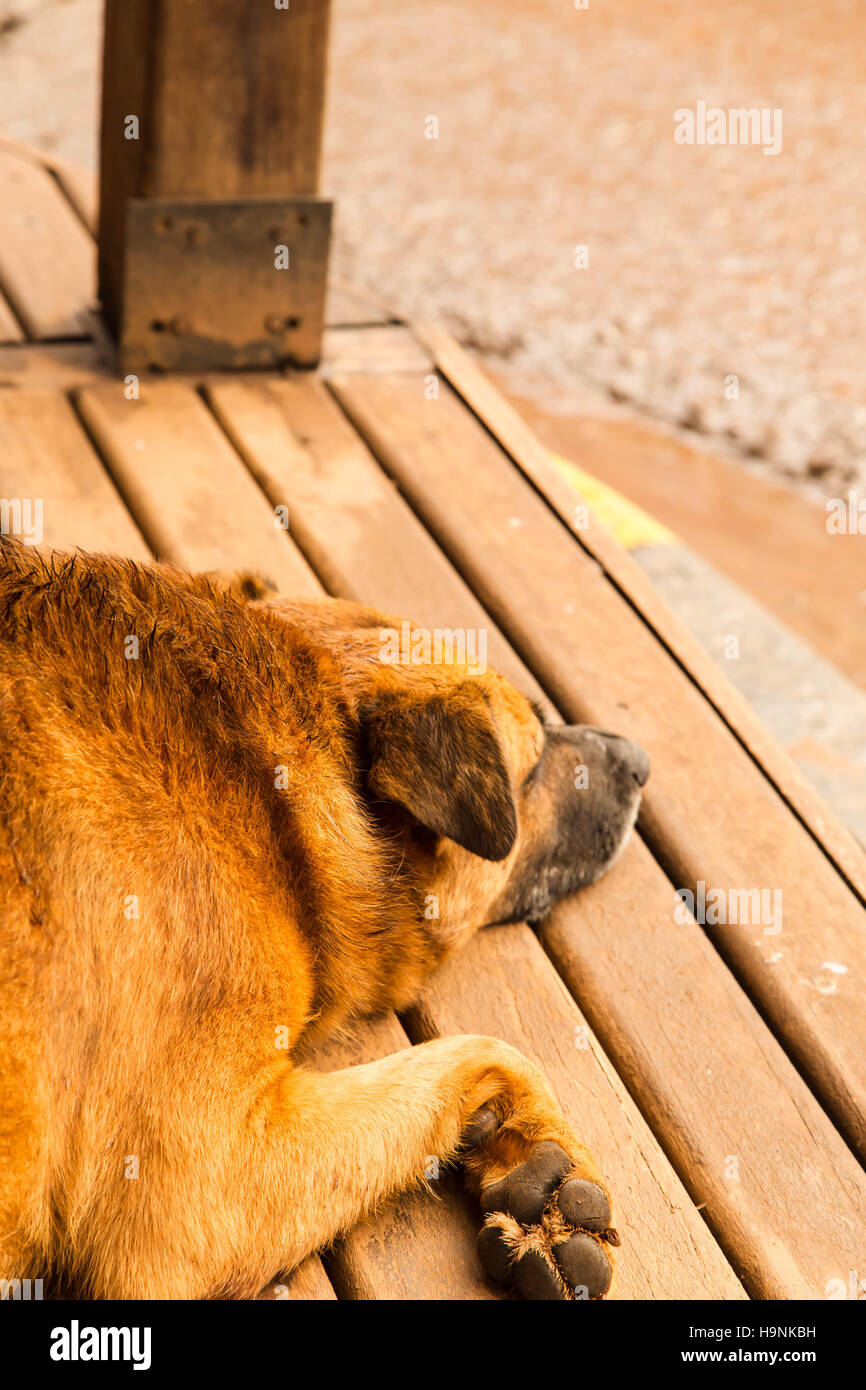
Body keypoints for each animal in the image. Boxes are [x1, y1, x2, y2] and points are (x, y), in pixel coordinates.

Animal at [1, 539, 650, 1301]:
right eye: (538, 759)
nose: (641, 760)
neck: (263, 773)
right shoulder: (203, 1180)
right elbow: (488, 1051)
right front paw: (540, 1155)